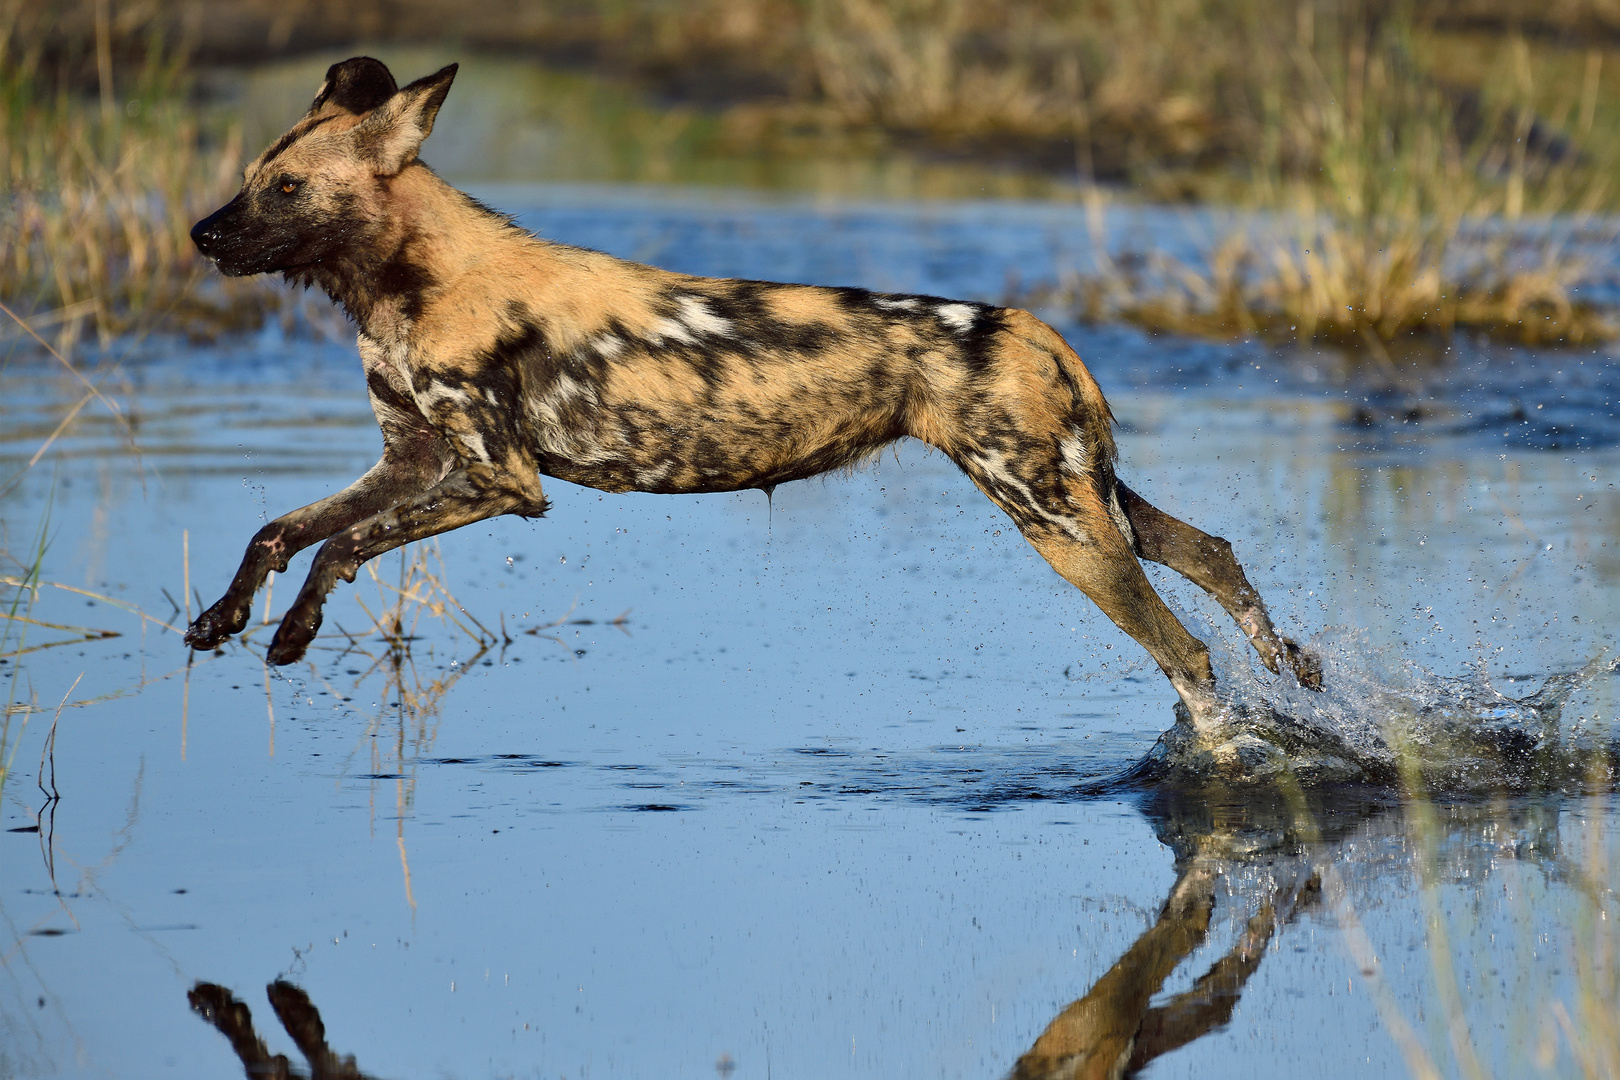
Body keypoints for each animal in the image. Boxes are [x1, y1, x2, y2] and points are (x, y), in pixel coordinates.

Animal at [186, 57, 1315, 735]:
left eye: (284, 190)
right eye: (250, 180)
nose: (201, 232)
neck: (406, 280)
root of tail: (1037, 327)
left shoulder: (499, 482)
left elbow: (337, 546)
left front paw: (289, 637)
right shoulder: (411, 460)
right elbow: (279, 530)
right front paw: (227, 621)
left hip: (1058, 525)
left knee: (1185, 653)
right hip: (1090, 503)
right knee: (1212, 557)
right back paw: (1293, 676)